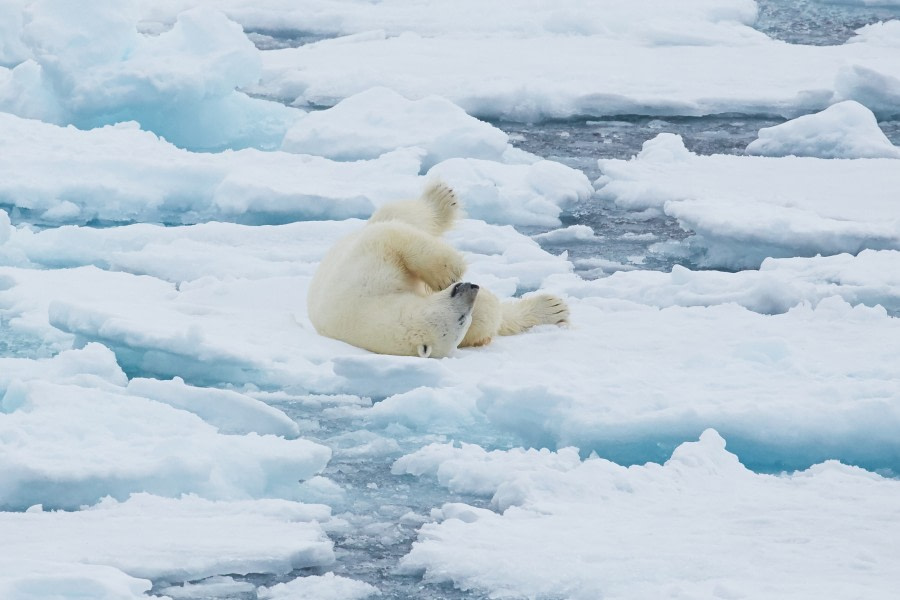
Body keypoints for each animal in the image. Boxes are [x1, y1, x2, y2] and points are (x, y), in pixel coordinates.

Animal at [306, 178, 568, 356]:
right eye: (462, 318)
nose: (470, 287)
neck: (373, 312)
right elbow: (488, 317)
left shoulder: (367, 269)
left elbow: (392, 237)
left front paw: (447, 273)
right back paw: (555, 309)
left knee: (400, 215)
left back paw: (441, 199)